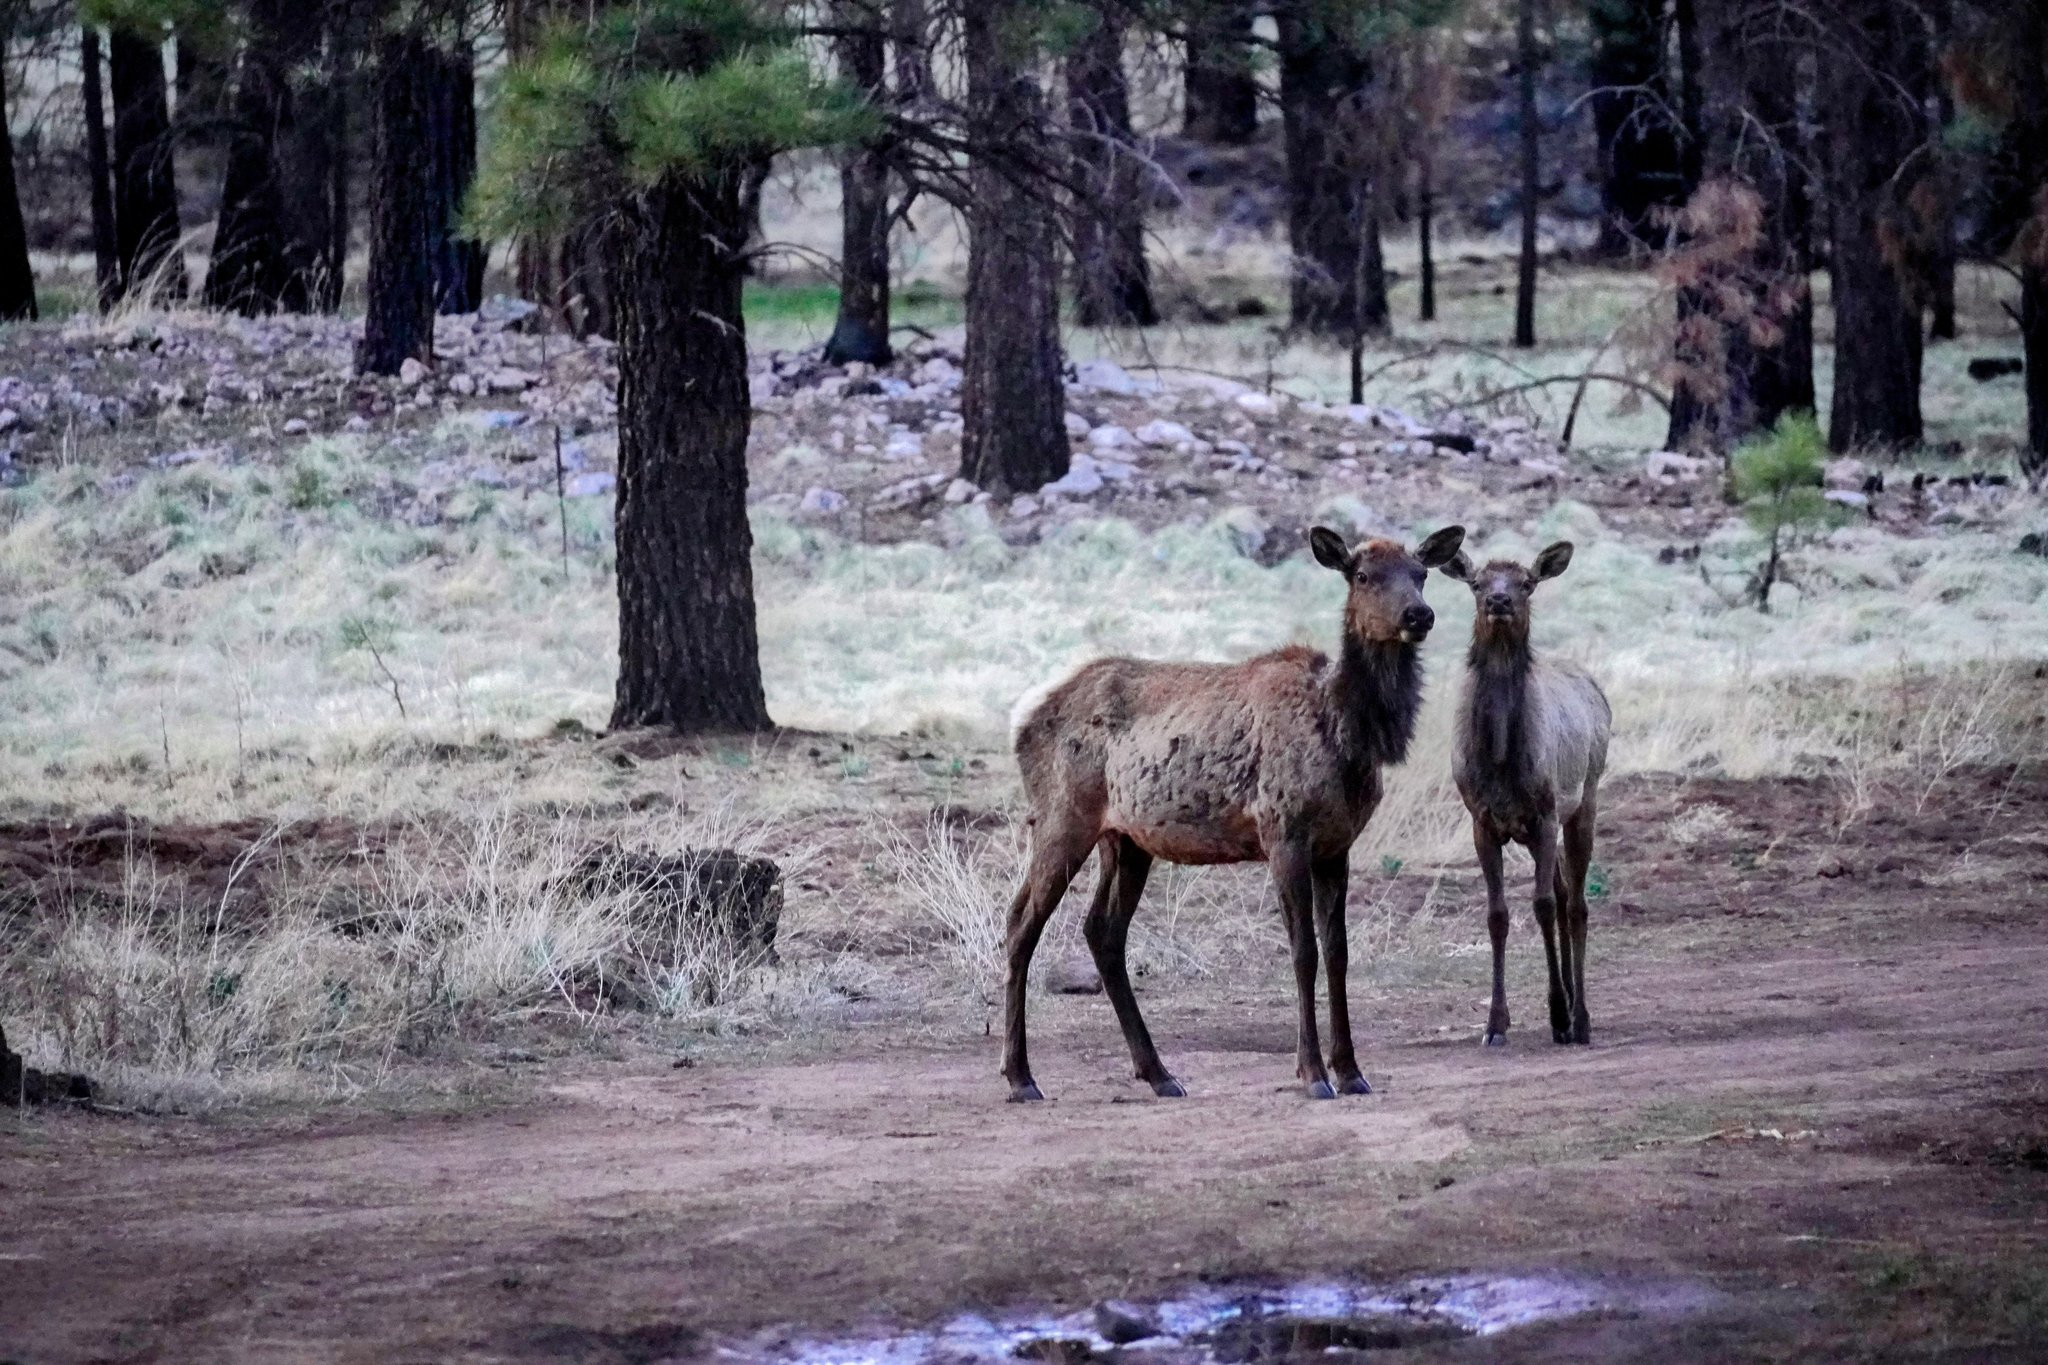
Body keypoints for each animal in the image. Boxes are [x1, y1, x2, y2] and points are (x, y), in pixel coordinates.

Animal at [1000, 524, 1466, 1102]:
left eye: (1420, 574)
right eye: (1362, 575)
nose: (1418, 615)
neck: (1348, 734)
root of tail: (1021, 720)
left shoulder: (1337, 845)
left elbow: (1338, 952)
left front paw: (1352, 1071)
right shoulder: (1283, 831)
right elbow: (1304, 951)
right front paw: (1313, 1074)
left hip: (1126, 840)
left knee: (1101, 930)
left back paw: (1159, 1073)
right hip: (1062, 815)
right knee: (1021, 922)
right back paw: (1021, 1077)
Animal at [1438, 541, 1611, 1048]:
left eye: (1527, 583)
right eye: (1477, 583)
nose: (1499, 601)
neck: (1501, 760)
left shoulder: (1546, 812)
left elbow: (1544, 906)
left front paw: (1560, 1014)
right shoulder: (1481, 820)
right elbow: (1497, 915)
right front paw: (1496, 1024)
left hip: (1584, 798)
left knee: (1575, 903)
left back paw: (1579, 1017)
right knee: (1562, 890)